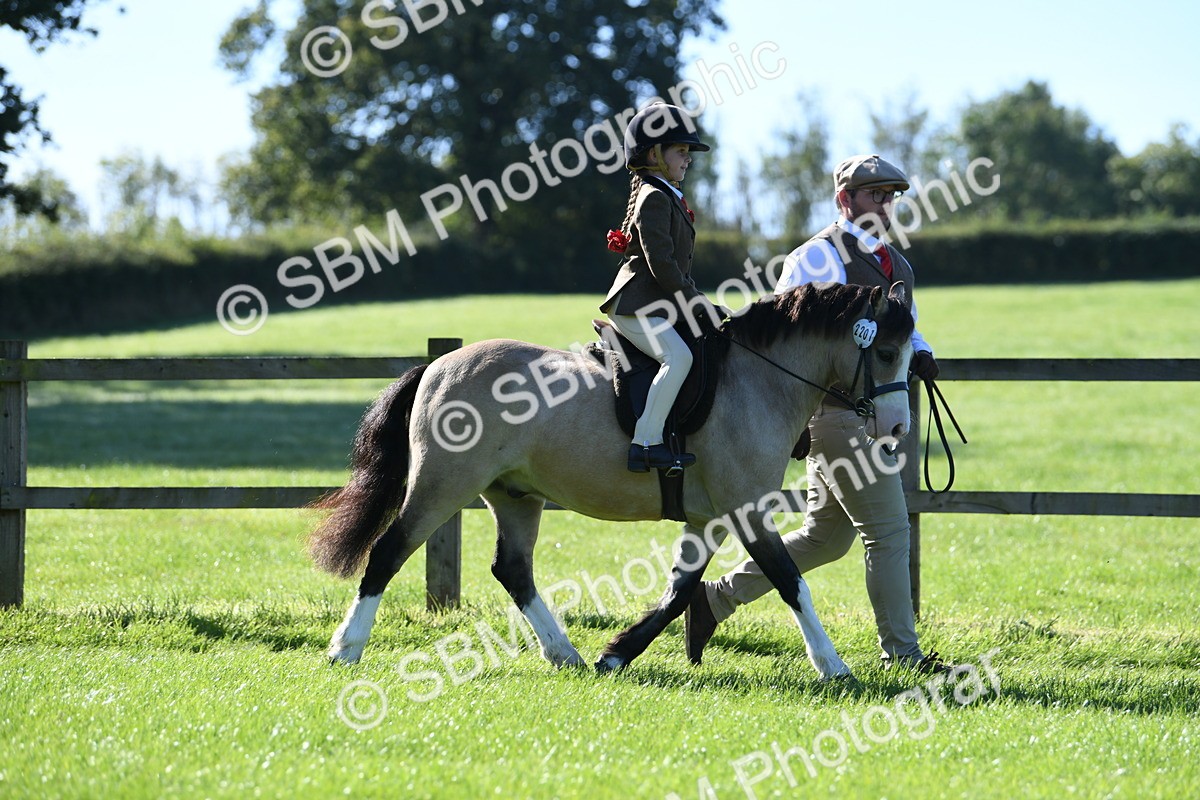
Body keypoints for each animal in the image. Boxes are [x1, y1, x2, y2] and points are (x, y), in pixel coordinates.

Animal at [308, 281, 915, 680]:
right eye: (886, 351)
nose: (898, 428)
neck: (758, 380)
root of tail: (439, 365)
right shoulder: (745, 509)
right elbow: (790, 580)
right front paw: (833, 666)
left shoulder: (710, 518)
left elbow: (679, 591)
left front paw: (617, 653)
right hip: (443, 484)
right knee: (388, 552)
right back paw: (346, 647)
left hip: (515, 495)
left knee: (513, 570)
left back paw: (565, 654)